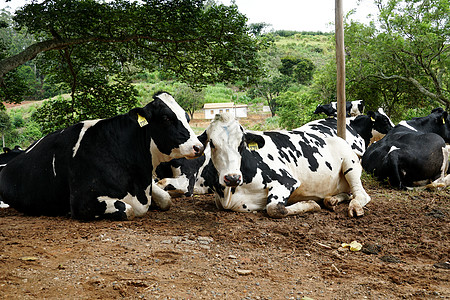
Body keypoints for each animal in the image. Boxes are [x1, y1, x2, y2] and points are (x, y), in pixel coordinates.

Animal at [0, 91, 204, 220]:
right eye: (166, 118)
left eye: (186, 117)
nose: (199, 147)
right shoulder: (82, 201)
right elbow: (128, 210)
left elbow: (166, 199)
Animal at [196, 112, 370, 218]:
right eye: (212, 143)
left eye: (242, 143)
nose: (232, 178)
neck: (228, 194)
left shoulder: (286, 181)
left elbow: (274, 208)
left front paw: (311, 203)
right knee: (348, 193)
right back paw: (331, 200)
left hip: (351, 164)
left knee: (360, 194)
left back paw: (354, 207)